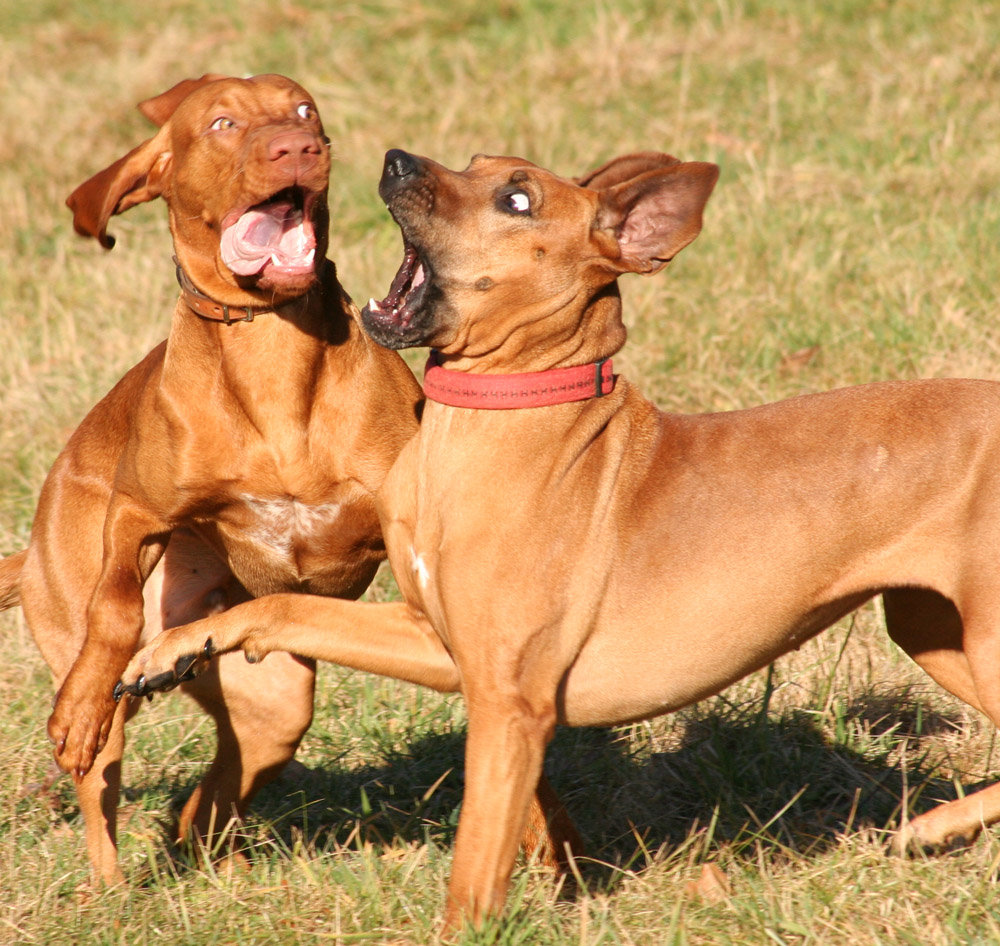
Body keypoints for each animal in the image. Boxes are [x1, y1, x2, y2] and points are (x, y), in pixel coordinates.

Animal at [121, 149, 1000, 928]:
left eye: (516, 198)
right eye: (474, 160)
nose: (398, 160)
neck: (502, 419)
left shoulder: (509, 705)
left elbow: (478, 858)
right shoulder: (437, 643)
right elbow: (282, 611)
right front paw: (175, 648)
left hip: (980, 642)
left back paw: (933, 824)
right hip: (930, 630)